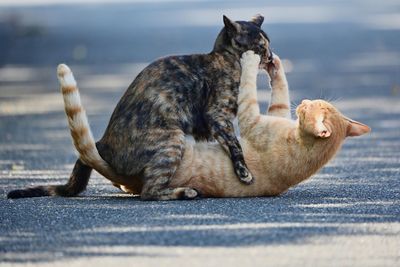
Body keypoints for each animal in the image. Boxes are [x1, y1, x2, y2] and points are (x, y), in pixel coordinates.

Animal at [8, 14, 272, 201]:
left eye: (268, 45)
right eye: (261, 47)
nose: (271, 57)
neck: (226, 60)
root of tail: (103, 143)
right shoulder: (217, 116)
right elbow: (235, 145)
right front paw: (244, 173)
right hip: (172, 139)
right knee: (149, 192)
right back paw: (185, 191)